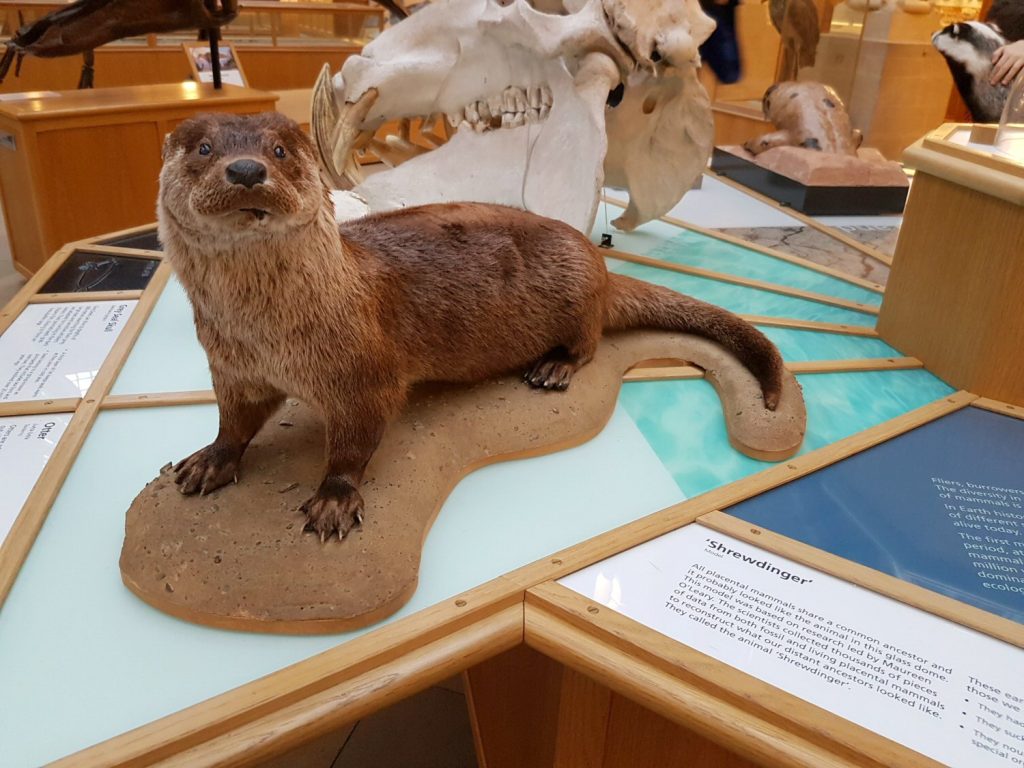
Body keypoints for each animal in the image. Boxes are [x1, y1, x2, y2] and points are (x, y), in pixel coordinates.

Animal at [159, 112, 786, 541]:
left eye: (280, 149)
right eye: (205, 148)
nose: (246, 170)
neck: (268, 334)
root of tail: (600, 260)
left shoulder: (364, 375)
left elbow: (356, 439)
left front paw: (334, 498)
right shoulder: (231, 367)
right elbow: (235, 420)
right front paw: (211, 459)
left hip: (581, 291)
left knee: (589, 342)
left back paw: (553, 367)